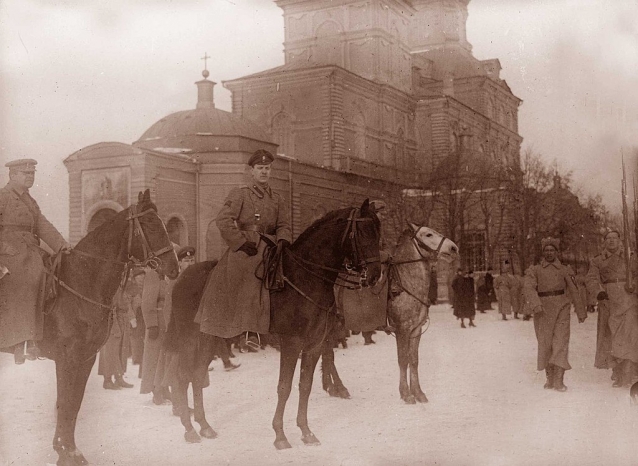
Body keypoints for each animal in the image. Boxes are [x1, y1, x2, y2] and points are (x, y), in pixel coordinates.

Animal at [39, 190, 180, 466]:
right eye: (150, 224)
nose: (175, 267)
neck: (80, 284)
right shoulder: (68, 358)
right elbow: (66, 402)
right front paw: (68, 452)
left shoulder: (85, 358)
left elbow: (72, 403)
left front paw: (66, 448)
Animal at [168, 199, 382, 448]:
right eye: (363, 232)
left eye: (378, 232)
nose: (375, 275)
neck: (306, 278)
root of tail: (182, 278)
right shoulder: (291, 342)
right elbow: (284, 387)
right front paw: (280, 435)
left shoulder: (314, 343)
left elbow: (305, 385)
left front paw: (306, 431)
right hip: (190, 339)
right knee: (182, 375)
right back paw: (189, 428)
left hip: (209, 338)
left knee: (196, 373)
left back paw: (204, 426)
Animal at [324, 224, 460, 402]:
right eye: (428, 234)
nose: (453, 248)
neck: (405, 284)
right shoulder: (402, 330)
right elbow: (403, 360)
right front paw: (406, 394)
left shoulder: (416, 331)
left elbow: (414, 360)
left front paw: (418, 393)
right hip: (333, 327)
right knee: (328, 354)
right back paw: (340, 388)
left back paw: (331, 387)